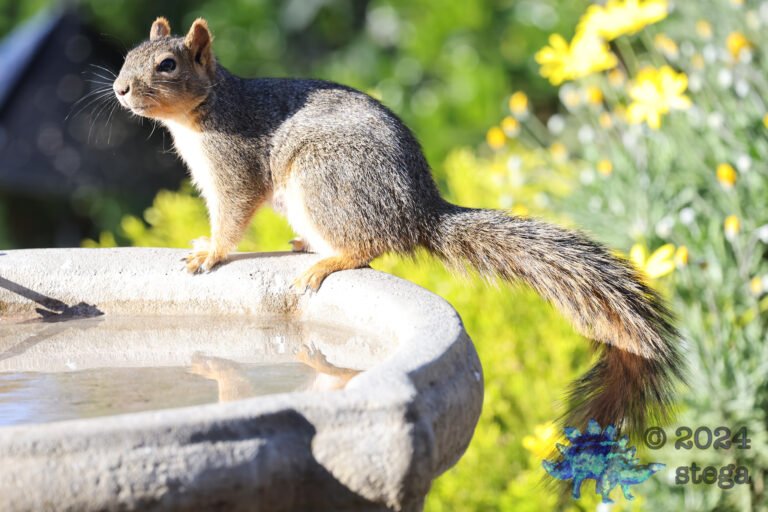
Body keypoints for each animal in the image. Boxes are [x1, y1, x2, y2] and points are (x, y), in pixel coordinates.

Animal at [113, 17, 683, 434]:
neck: (206, 108)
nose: (119, 89)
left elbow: (232, 215)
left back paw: (328, 261)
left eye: (166, 64)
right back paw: (306, 246)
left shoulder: (234, 166)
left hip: (325, 179)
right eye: (126, 56)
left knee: (368, 246)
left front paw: (210, 253)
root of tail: (416, 212)